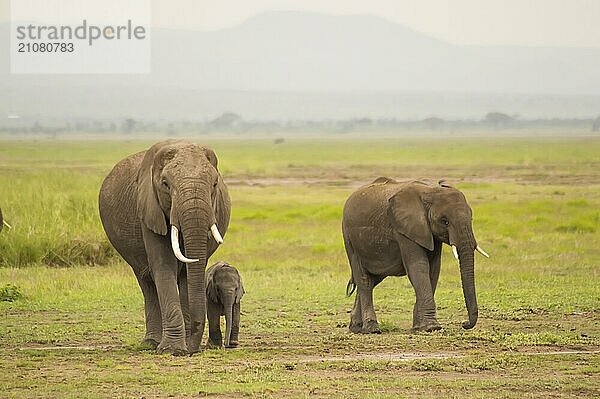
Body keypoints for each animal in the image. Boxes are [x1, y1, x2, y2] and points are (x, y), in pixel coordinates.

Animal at [98, 141, 230, 356]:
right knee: (147, 282)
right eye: (165, 184)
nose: (193, 349)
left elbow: (189, 272)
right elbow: (163, 265)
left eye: (215, 184)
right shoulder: (149, 209)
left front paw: (183, 347)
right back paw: (151, 343)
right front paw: (172, 350)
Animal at [342, 178, 488, 334]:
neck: (430, 191)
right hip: (349, 239)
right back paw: (372, 328)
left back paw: (356, 328)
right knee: (364, 280)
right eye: (445, 221)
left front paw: (419, 327)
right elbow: (419, 267)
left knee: (372, 279)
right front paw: (431, 327)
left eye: (471, 218)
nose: (464, 323)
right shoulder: (404, 229)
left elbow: (433, 269)